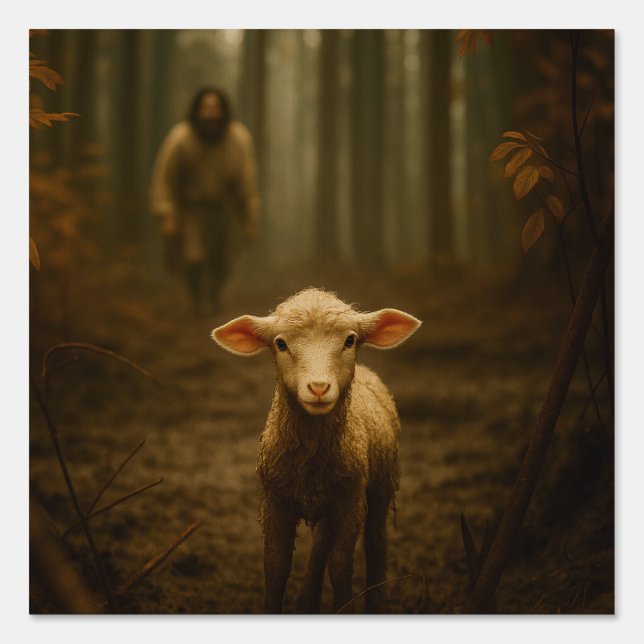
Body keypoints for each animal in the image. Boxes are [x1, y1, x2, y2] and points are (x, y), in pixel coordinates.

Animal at [211, 288, 421, 613]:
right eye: (280, 343)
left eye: (350, 340)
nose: (319, 388)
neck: (310, 453)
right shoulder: (276, 501)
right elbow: (276, 568)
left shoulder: (350, 501)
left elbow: (341, 565)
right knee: (322, 542)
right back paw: (307, 601)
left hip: (382, 483)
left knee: (376, 543)